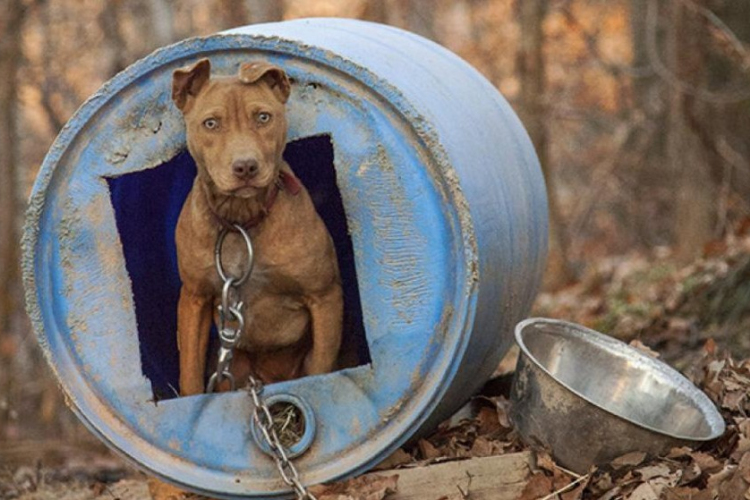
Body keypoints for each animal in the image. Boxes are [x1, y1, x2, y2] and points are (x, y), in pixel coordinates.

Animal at [171, 57, 344, 394]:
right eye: (210, 124)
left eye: (263, 117)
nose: (246, 167)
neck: (241, 220)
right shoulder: (194, 299)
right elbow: (190, 376)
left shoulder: (325, 296)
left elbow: (320, 367)